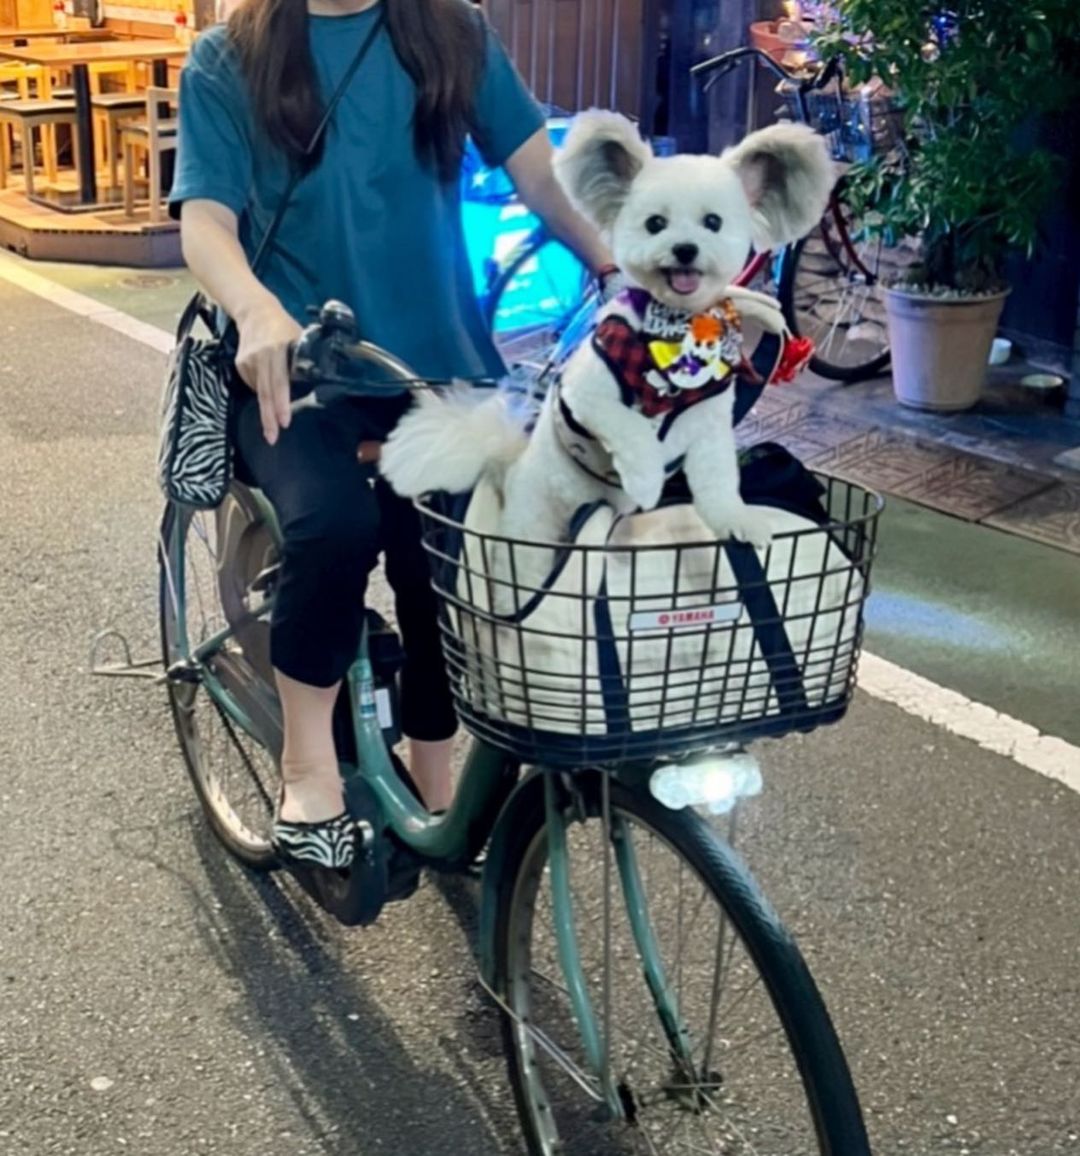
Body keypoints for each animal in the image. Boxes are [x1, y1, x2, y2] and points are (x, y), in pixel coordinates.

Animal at [381, 112, 837, 582]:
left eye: (713, 222)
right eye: (655, 223)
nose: (685, 249)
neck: (675, 331)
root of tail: (507, 469)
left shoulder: (709, 428)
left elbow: (719, 485)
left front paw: (739, 521)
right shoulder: (588, 397)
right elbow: (632, 429)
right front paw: (646, 481)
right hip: (535, 537)